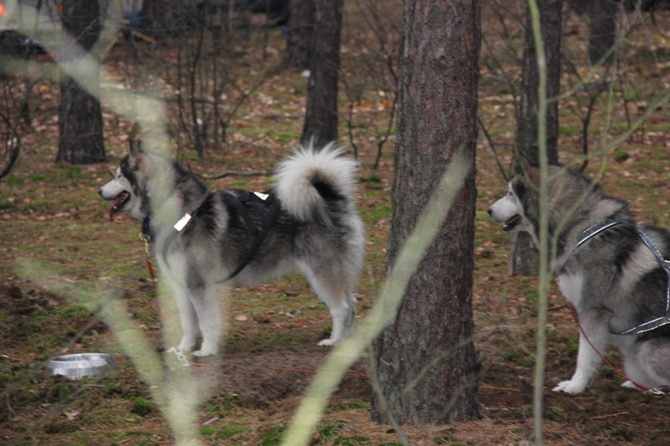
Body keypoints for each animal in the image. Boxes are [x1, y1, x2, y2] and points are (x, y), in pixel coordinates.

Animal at [98, 141, 368, 358]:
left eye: (118, 175)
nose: (99, 191)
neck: (174, 208)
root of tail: (329, 196)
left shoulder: (199, 285)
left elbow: (206, 322)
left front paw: (206, 351)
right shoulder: (181, 285)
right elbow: (189, 324)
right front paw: (183, 349)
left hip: (322, 272)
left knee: (342, 308)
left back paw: (334, 341)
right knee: (352, 303)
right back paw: (347, 342)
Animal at [488, 165, 670, 394]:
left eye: (510, 193)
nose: (488, 210)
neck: (580, 229)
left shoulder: (591, 311)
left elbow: (585, 355)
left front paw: (576, 385)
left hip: (648, 352)